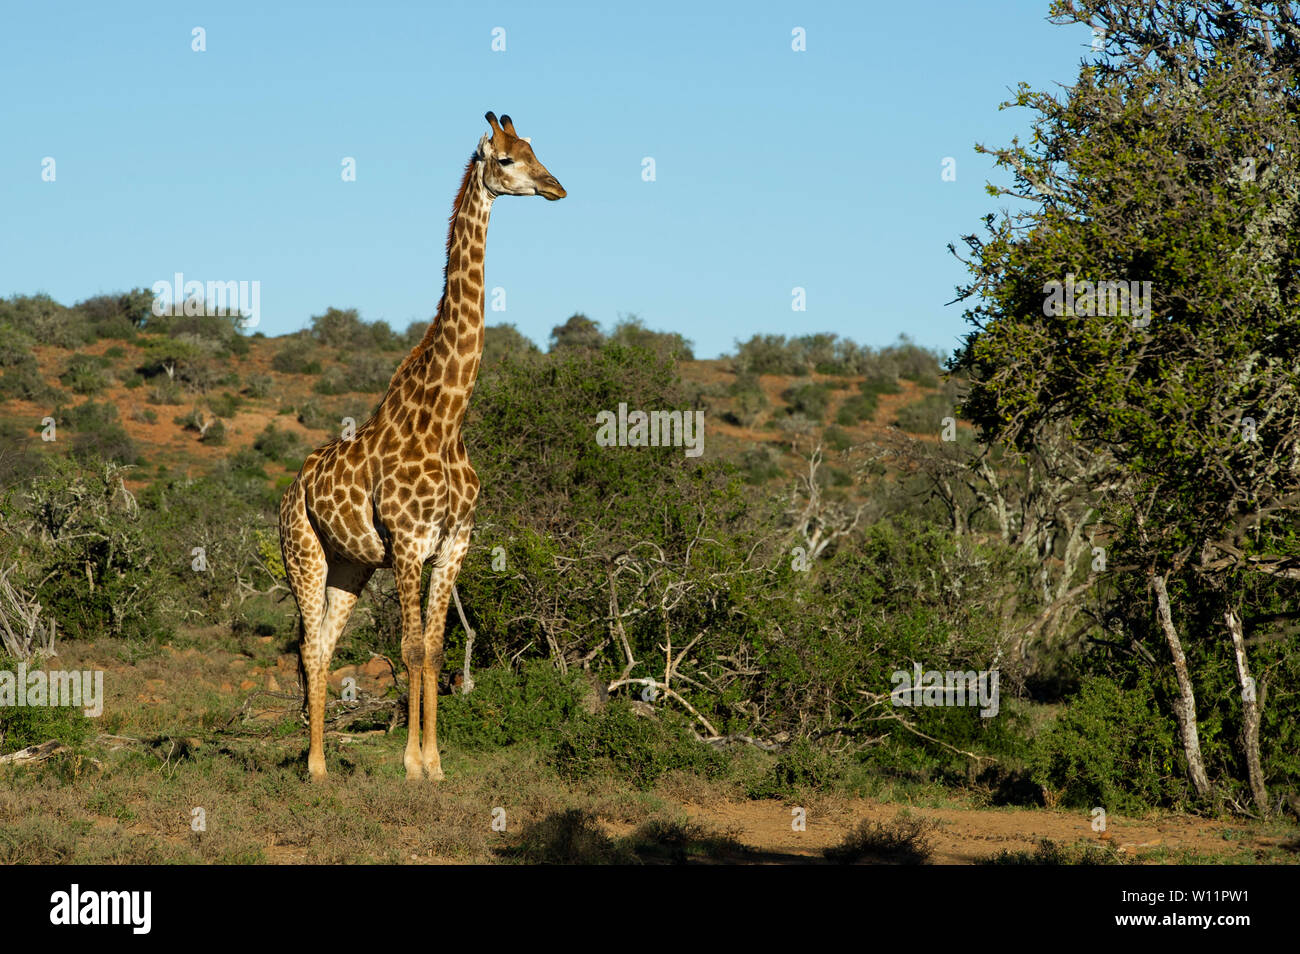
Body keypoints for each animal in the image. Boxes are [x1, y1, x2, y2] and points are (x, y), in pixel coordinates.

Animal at [279, 112, 565, 781]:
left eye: (535, 149)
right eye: (507, 160)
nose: (555, 187)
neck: (447, 418)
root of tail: (290, 488)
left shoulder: (455, 542)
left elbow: (435, 650)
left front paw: (435, 764)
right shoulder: (409, 542)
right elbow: (409, 648)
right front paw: (411, 763)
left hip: (350, 565)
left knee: (324, 645)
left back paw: (322, 764)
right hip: (303, 552)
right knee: (307, 647)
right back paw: (313, 766)